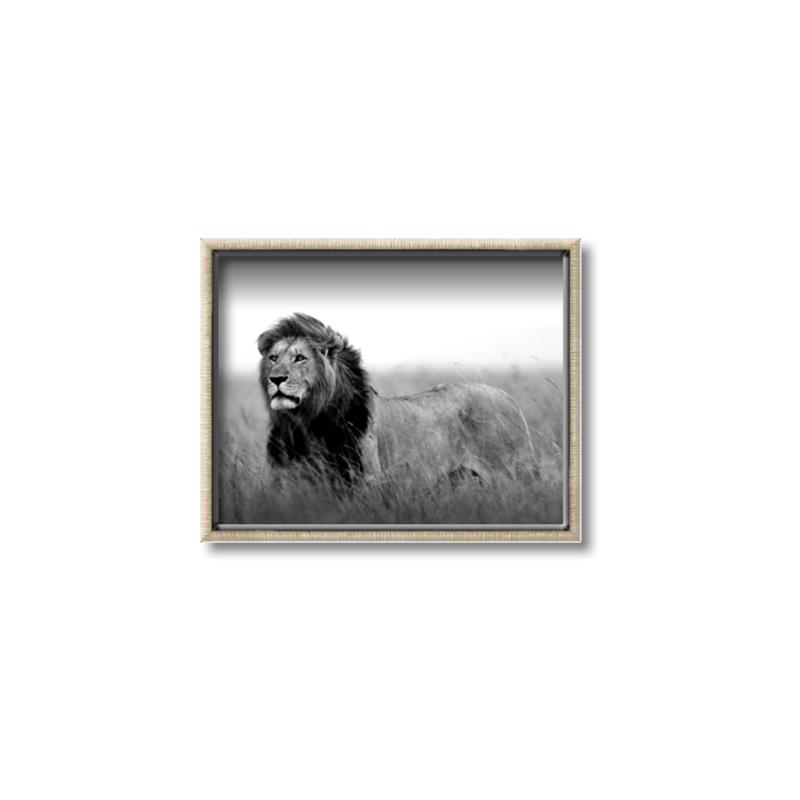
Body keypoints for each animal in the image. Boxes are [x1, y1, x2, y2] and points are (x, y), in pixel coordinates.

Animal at [257, 313, 537, 488]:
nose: (276, 379)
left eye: (300, 358)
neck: (306, 423)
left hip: (513, 475)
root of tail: (506, 396)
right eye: (273, 358)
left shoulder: (366, 482)